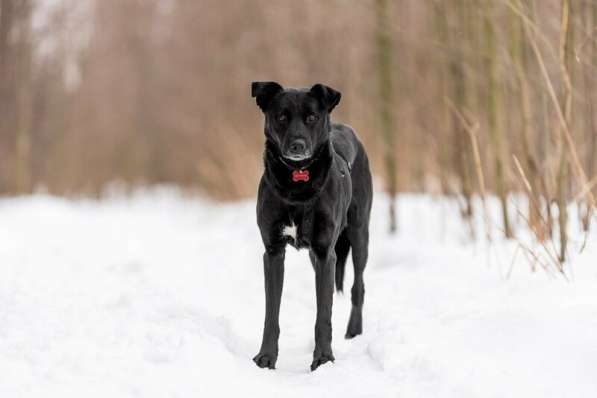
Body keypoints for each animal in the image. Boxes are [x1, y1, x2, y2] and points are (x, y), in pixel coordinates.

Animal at [249, 82, 370, 372]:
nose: (298, 145)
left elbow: (323, 315)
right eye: (281, 117)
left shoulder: (327, 253)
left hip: (359, 235)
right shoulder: (273, 252)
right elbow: (271, 313)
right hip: (316, 257)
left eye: (312, 117)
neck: (297, 184)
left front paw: (323, 359)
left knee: (358, 285)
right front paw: (266, 357)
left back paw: (354, 330)